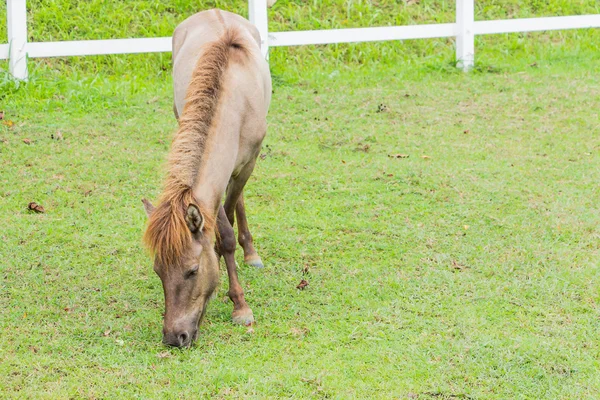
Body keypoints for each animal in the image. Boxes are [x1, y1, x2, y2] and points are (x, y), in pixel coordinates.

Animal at [141, 9, 272, 346]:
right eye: (158, 271)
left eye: (192, 271)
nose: (174, 337)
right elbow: (221, 226)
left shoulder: (248, 163)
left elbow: (226, 230)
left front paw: (239, 305)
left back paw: (250, 253)